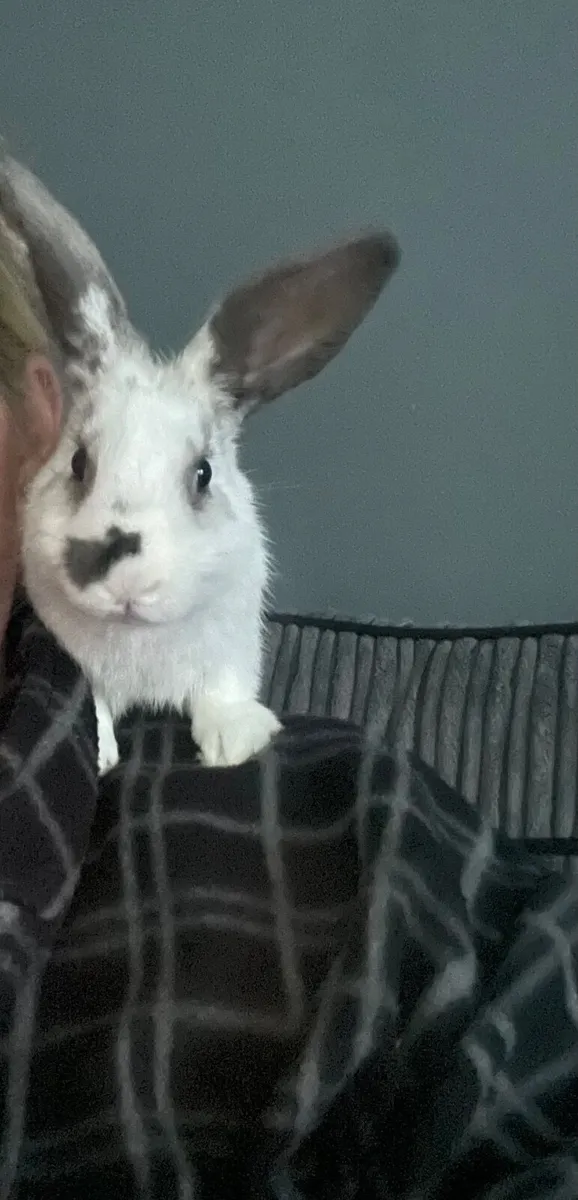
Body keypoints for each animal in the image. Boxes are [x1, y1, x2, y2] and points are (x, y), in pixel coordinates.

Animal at [0, 156, 401, 773]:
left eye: (203, 473)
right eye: (78, 462)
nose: (124, 581)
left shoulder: (234, 640)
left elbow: (223, 690)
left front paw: (237, 739)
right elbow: (98, 704)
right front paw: (107, 752)